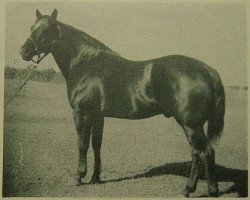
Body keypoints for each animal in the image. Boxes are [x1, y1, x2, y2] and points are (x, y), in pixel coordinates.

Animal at [19, 9, 226, 197]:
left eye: (47, 29)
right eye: (31, 28)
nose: (24, 51)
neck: (86, 64)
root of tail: (208, 70)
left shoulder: (82, 113)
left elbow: (82, 144)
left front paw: (79, 177)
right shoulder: (98, 116)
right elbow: (96, 144)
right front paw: (95, 177)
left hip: (192, 125)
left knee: (205, 152)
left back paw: (205, 190)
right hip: (191, 125)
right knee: (198, 153)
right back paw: (194, 189)